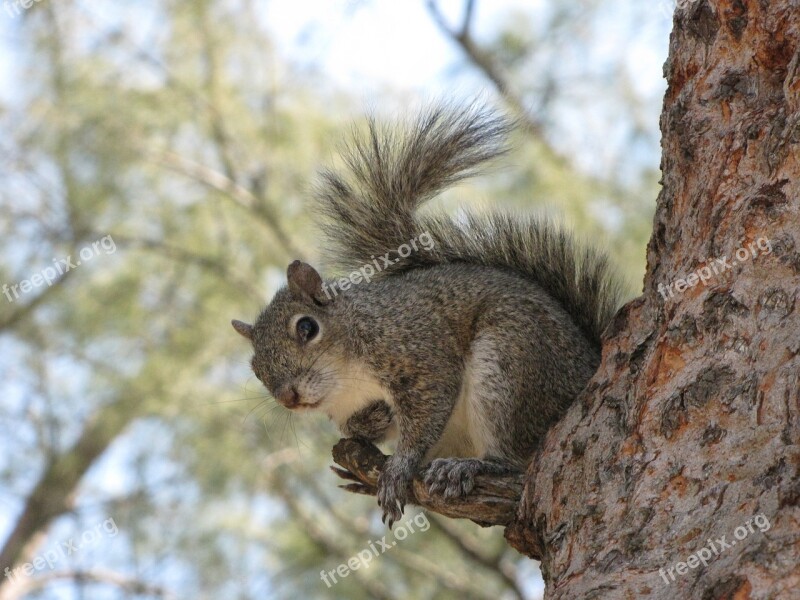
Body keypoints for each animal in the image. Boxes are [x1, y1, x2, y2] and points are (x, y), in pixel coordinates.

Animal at [231, 102, 624, 524]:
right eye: (255, 368)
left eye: (307, 328)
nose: (288, 397)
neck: (348, 377)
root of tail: (588, 365)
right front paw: (373, 421)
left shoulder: (417, 351)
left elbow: (428, 408)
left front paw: (398, 468)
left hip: (512, 362)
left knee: (517, 455)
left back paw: (470, 466)